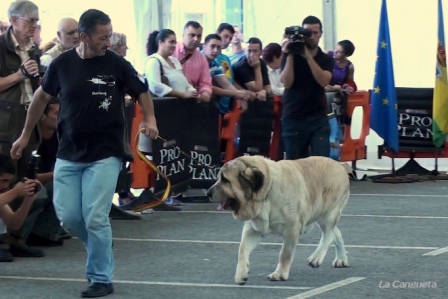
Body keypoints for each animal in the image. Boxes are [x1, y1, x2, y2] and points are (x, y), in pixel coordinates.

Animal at [208, 156, 352, 284]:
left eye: (225, 180)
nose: (208, 193)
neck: (266, 193)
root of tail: (340, 165)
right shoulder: (252, 230)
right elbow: (242, 250)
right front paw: (241, 274)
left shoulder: (291, 229)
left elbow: (285, 254)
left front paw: (280, 274)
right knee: (336, 233)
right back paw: (341, 259)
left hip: (327, 215)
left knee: (328, 235)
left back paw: (316, 257)